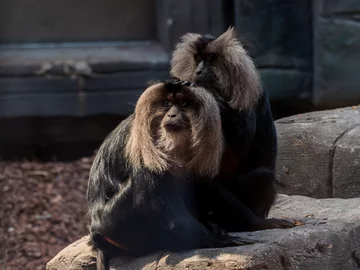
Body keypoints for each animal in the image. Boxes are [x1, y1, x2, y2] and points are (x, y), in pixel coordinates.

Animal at [170, 28, 294, 232]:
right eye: (198, 59)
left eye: (210, 59)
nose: (199, 71)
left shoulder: (249, 93)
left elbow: (242, 144)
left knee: (262, 175)